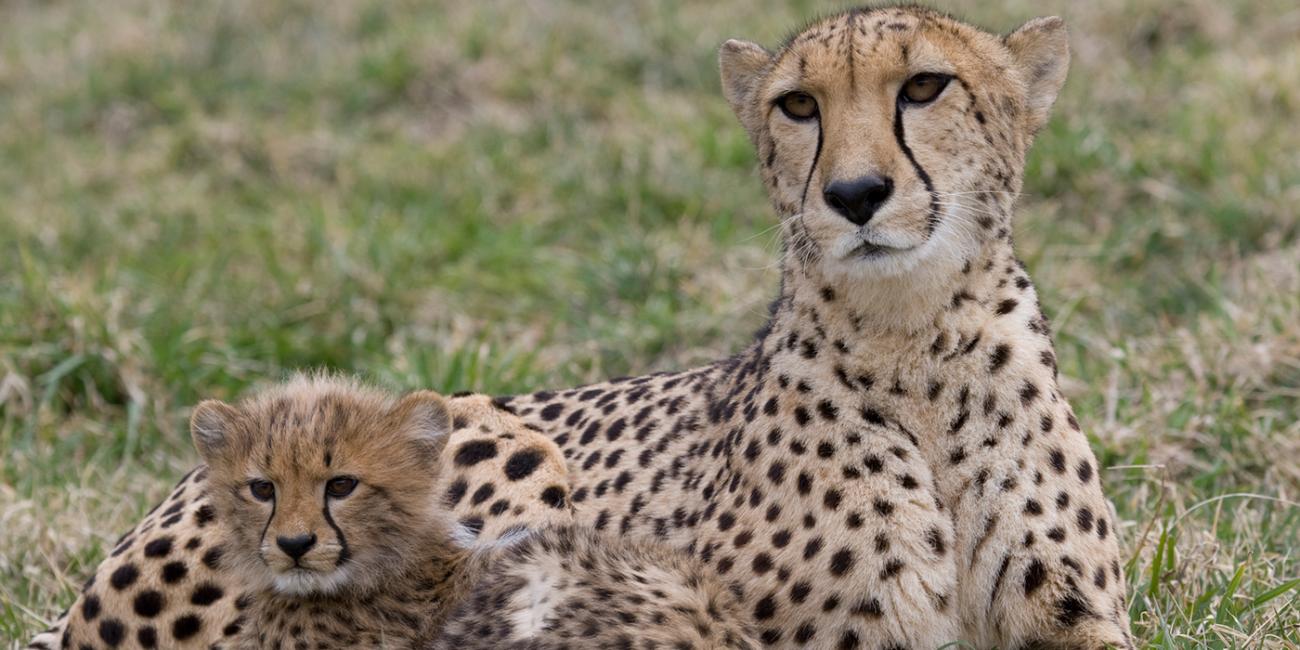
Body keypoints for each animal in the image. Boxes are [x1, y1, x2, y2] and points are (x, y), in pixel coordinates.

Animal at [30, 6, 1133, 650]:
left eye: (924, 86)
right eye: (797, 106)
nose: (855, 196)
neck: (916, 344)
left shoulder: (1076, 626)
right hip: (499, 438)